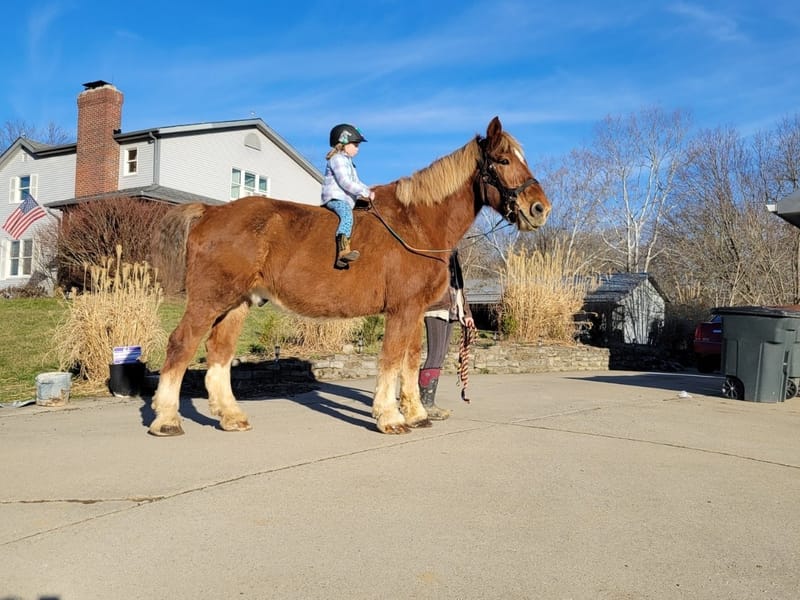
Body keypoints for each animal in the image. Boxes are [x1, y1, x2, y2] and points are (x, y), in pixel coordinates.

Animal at [148, 117, 552, 436]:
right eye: (503, 160)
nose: (540, 208)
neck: (416, 223)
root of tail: (209, 212)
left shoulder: (415, 310)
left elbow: (411, 360)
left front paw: (417, 414)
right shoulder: (402, 310)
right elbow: (391, 359)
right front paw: (390, 418)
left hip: (237, 304)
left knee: (219, 352)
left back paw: (231, 417)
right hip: (209, 299)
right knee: (181, 344)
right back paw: (167, 420)